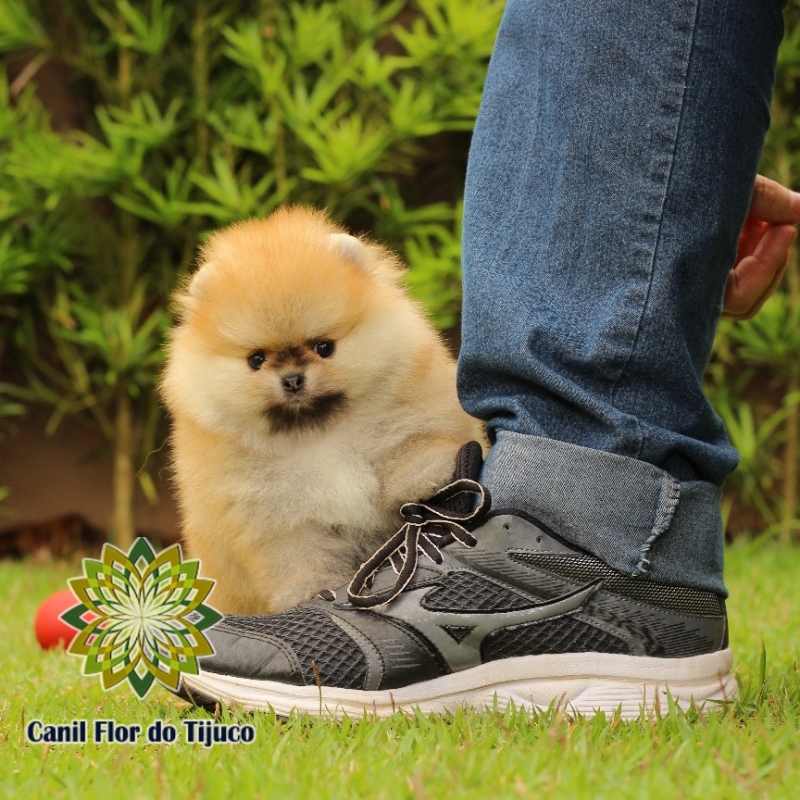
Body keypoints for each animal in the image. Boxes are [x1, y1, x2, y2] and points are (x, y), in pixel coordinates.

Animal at [162, 206, 482, 612]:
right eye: (256, 360)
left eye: (324, 347)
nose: (292, 379)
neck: (319, 434)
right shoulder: (276, 517)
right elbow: (299, 557)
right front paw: (312, 592)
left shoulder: (406, 420)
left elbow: (412, 447)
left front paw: (430, 476)